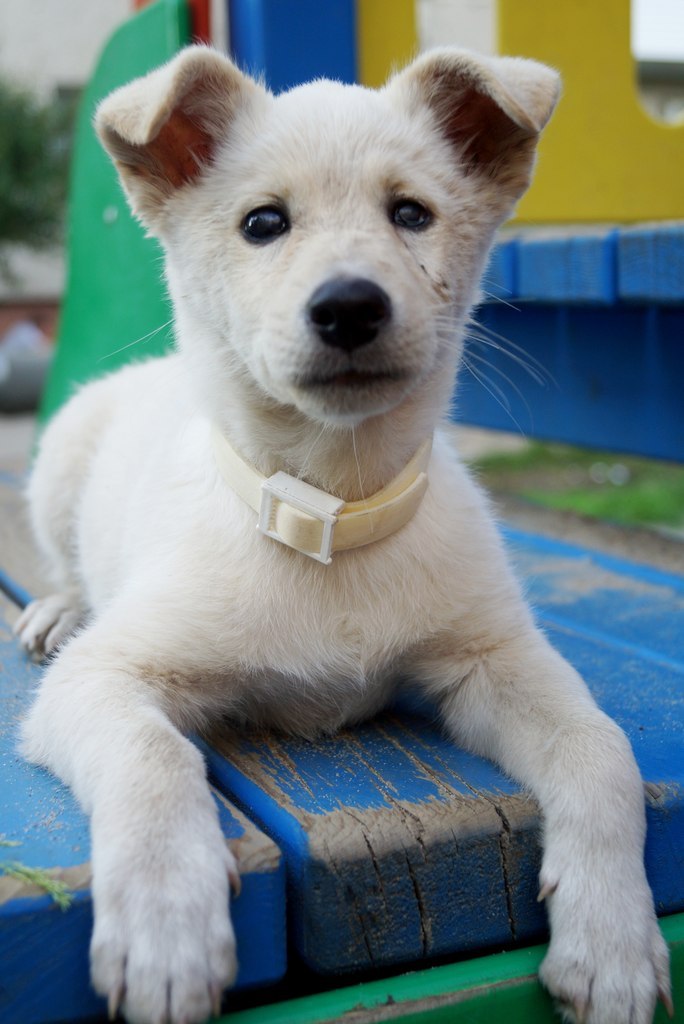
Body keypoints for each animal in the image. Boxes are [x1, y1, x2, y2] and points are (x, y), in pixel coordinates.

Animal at [13, 46, 671, 1024]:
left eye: (411, 214)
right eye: (263, 223)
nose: (350, 307)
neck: (330, 513)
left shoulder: (493, 658)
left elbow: (603, 749)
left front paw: (615, 938)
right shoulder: (103, 677)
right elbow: (153, 757)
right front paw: (167, 928)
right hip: (59, 464)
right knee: (66, 570)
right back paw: (56, 609)